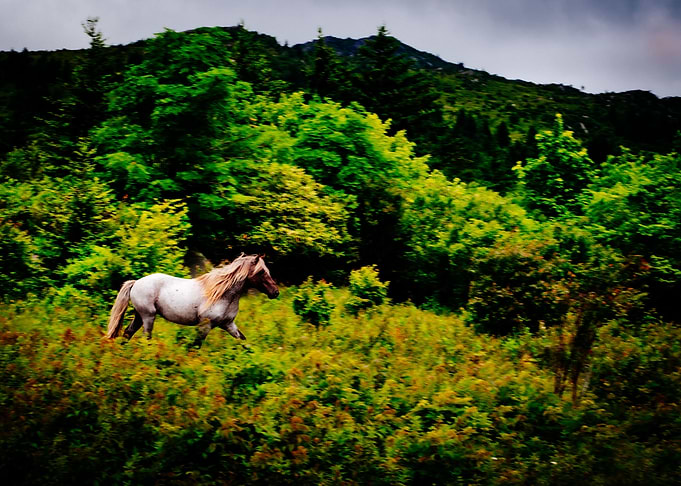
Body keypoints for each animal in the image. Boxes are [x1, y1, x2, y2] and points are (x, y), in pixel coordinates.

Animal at [106, 253, 279, 347]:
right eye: (261, 272)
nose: (275, 292)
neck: (223, 294)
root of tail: (136, 283)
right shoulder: (206, 325)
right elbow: (195, 347)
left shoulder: (228, 324)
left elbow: (243, 341)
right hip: (148, 316)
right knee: (145, 338)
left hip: (139, 316)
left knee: (127, 333)